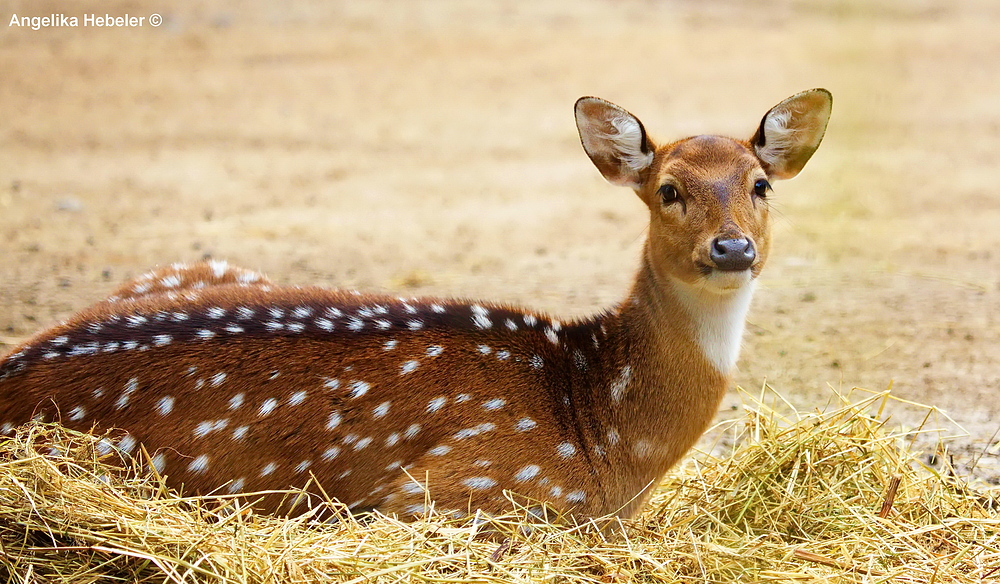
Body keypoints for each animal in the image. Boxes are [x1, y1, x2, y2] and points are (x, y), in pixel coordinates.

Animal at [0, 90, 832, 520]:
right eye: (668, 190)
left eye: (760, 183)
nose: (732, 248)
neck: (605, 438)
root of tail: (15, 368)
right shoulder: (469, 490)